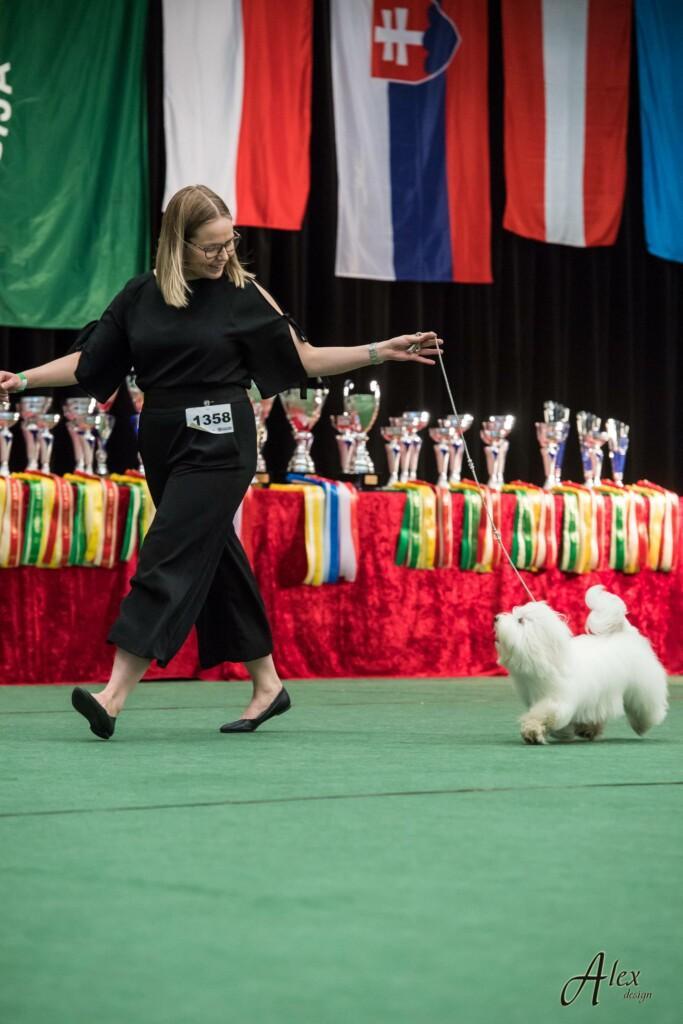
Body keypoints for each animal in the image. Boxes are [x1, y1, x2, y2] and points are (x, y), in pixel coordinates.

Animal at [493, 585, 671, 745]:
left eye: (520, 620)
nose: (496, 618)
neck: (549, 659)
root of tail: (626, 634)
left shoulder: (558, 701)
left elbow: (543, 714)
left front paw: (532, 730)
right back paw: (589, 729)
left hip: (643, 687)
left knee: (646, 706)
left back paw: (643, 724)